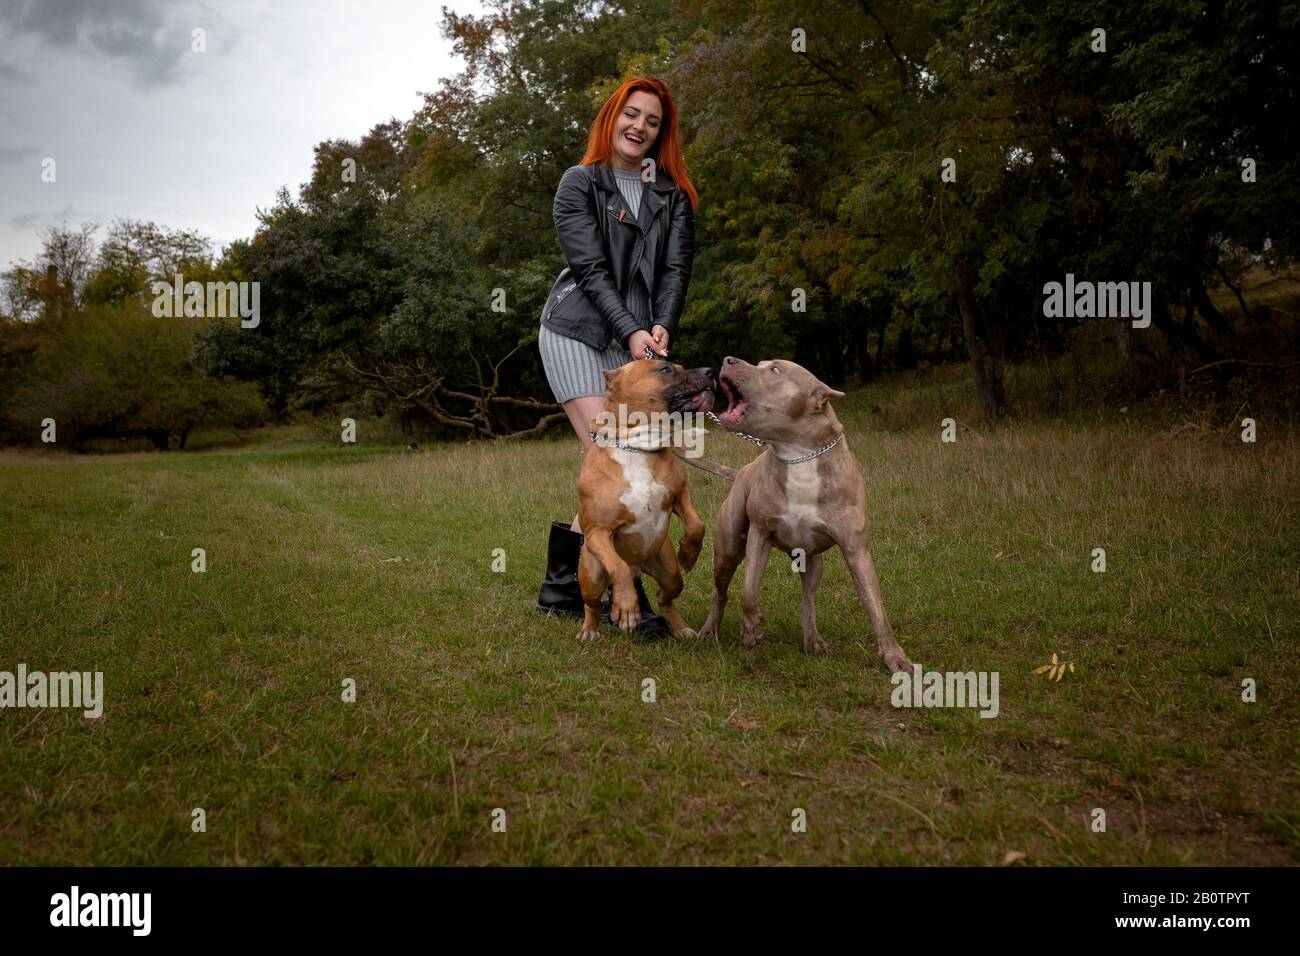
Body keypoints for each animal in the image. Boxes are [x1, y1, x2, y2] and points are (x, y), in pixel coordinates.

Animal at [579, 358, 717, 642]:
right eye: (666, 369)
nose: (710, 371)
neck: (637, 448)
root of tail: (638, 567)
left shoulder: (680, 493)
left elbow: (697, 525)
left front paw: (689, 552)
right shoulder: (598, 531)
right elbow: (617, 567)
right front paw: (626, 608)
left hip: (669, 571)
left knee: (665, 596)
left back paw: (681, 627)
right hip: (591, 575)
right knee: (593, 602)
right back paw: (590, 629)